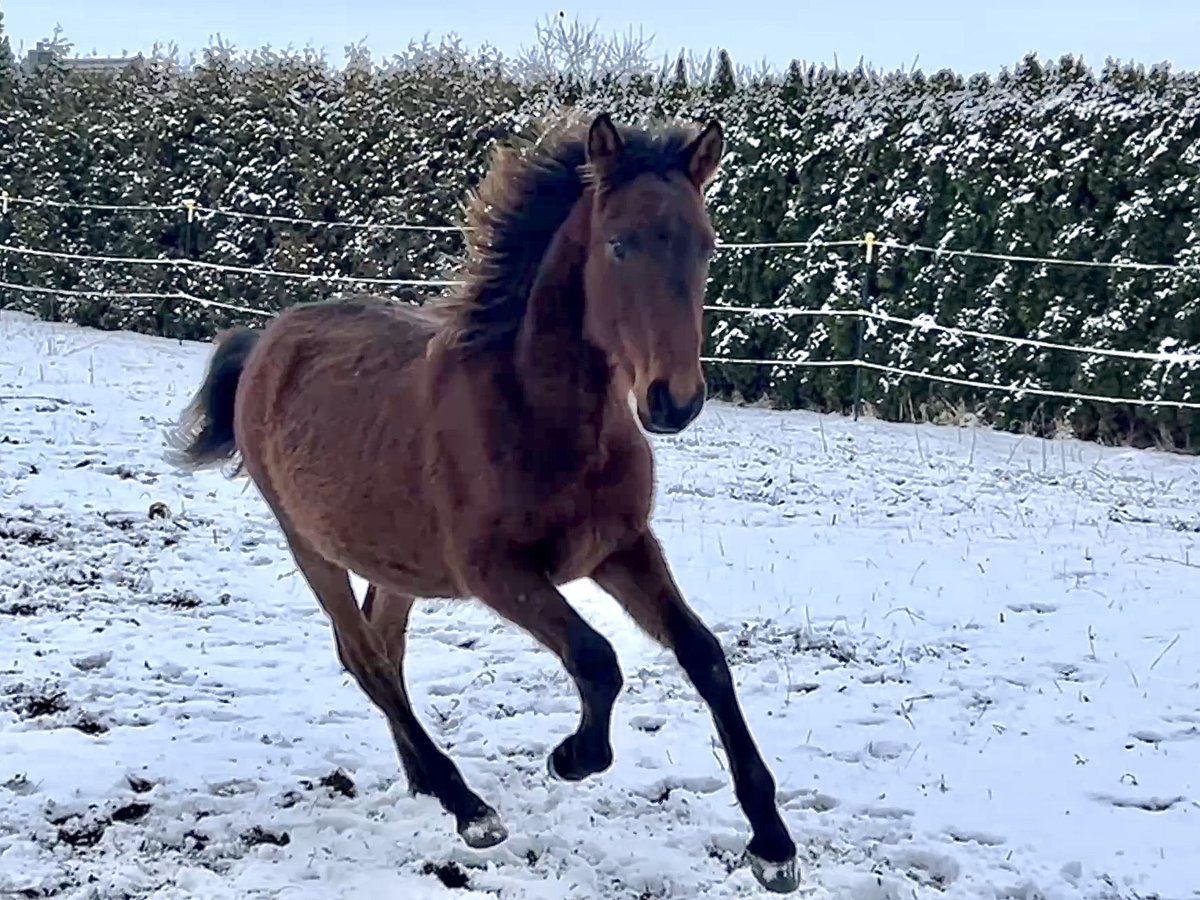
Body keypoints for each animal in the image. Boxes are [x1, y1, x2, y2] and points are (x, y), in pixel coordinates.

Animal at [162, 112, 796, 897]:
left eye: (706, 244)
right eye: (619, 243)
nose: (673, 401)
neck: (549, 417)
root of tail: (263, 342)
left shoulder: (622, 548)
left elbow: (703, 655)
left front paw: (773, 845)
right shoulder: (497, 573)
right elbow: (597, 658)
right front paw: (571, 758)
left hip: (397, 560)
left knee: (387, 645)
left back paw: (424, 782)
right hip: (309, 545)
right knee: (364, 657)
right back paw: (467, 805)